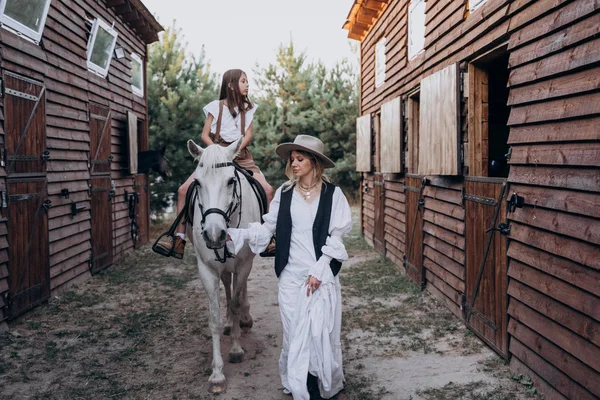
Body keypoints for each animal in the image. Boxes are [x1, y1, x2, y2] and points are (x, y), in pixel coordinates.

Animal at [185, 138, 260, 394]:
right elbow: (214, 318)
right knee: (227, 285)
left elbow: (236, 303)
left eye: (230, 181)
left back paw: (245, 319)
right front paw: (217, 374)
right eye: (197, 182)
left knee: (240, 290)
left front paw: (236, 349)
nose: (213, 234)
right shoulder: (206, 270)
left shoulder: (244, 264)